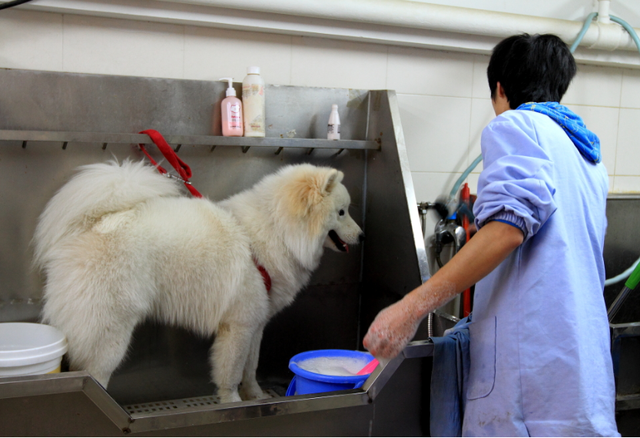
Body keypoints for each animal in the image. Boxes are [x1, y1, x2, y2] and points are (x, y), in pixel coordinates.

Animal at [32, 159, 362, 402]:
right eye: (341, 212)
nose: (362, 235)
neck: (273, 232)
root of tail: (94, 222)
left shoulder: (255, 323)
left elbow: (250, 367)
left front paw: (256, 396)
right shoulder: (237, 326)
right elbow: (231, 373)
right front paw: (233, 403)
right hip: (110, 332)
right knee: (94, 374)